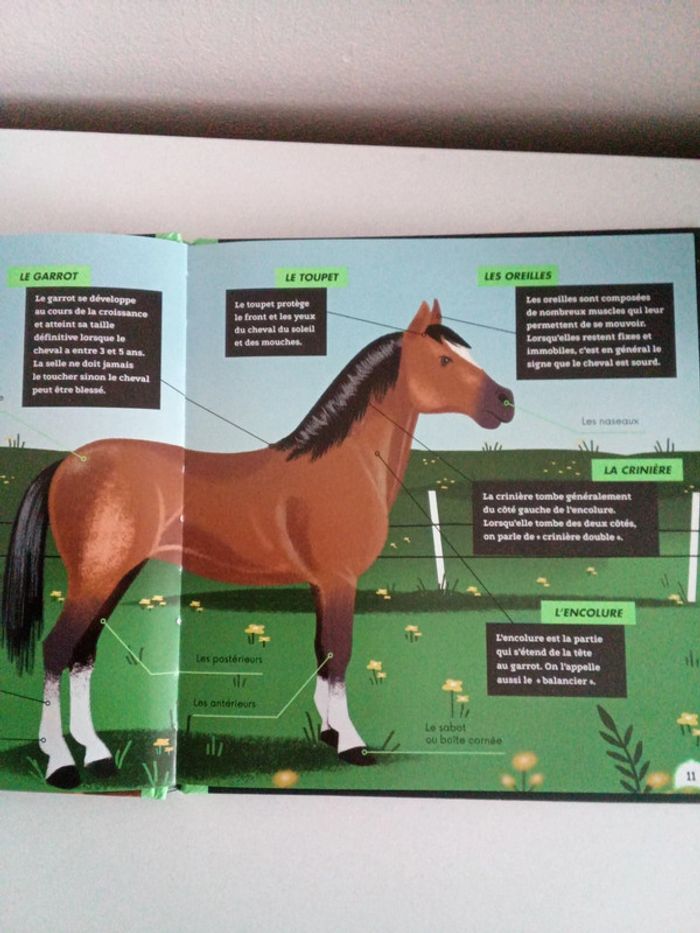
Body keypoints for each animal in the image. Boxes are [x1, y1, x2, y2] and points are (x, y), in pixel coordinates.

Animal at [1, 299, 514, 788]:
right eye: (444, 360)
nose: (506, 402)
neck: (343, 464)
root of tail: (69, 463)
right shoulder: (339, 579)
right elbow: (341, 652)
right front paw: (352, 744)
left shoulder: (321, 583)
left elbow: (323, 652)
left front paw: (329, 733)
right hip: (96, 577)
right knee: (57, 651)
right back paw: (61, 764)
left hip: (116, 575)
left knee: (83, 654)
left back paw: (99, 755)